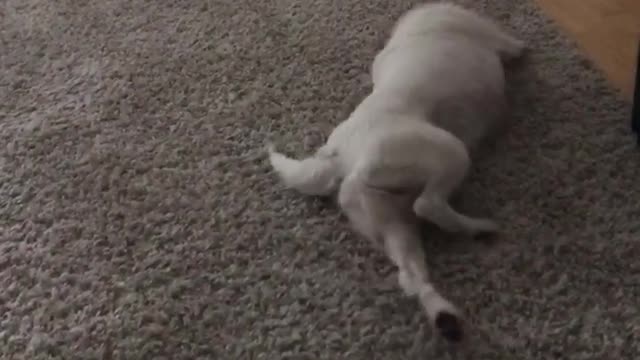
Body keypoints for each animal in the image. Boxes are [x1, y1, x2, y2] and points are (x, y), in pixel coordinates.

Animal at [268, 2, 524, 340]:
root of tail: (340, 158)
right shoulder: (487, 31)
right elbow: (512, 44)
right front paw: (523, 47)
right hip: (447, 151)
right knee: (428, 205)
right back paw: (477, 227)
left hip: (390, 222)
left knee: (411, 277)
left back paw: (446, 314)